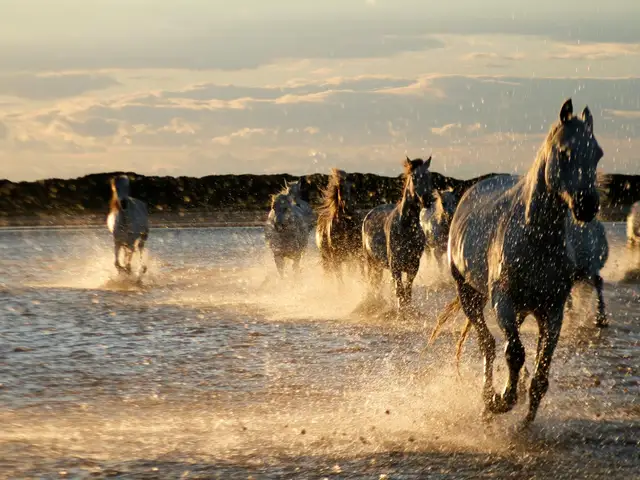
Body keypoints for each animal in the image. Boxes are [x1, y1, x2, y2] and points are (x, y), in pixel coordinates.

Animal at [362, 156, 434, 313]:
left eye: (429, 176)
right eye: (414, 177)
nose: (427, 200)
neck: (406, 227)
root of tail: (369, 214)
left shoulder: (413, 266)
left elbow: (407, 292)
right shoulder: (395, 266)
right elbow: (399, 291)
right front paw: (401, 313)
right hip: (370, 261)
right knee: (372, 283)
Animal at [429, 99, 603, 428]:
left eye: (597, 154)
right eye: (564, 152)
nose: (587, 205)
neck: (534, 237)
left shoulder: (552, 310)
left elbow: (541, 369)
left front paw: (526, 419)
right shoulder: (504, 302)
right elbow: (515, 353)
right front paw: (502, 400)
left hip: (521, 309)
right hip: (471, 296)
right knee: (488, 345)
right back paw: (488, 399)